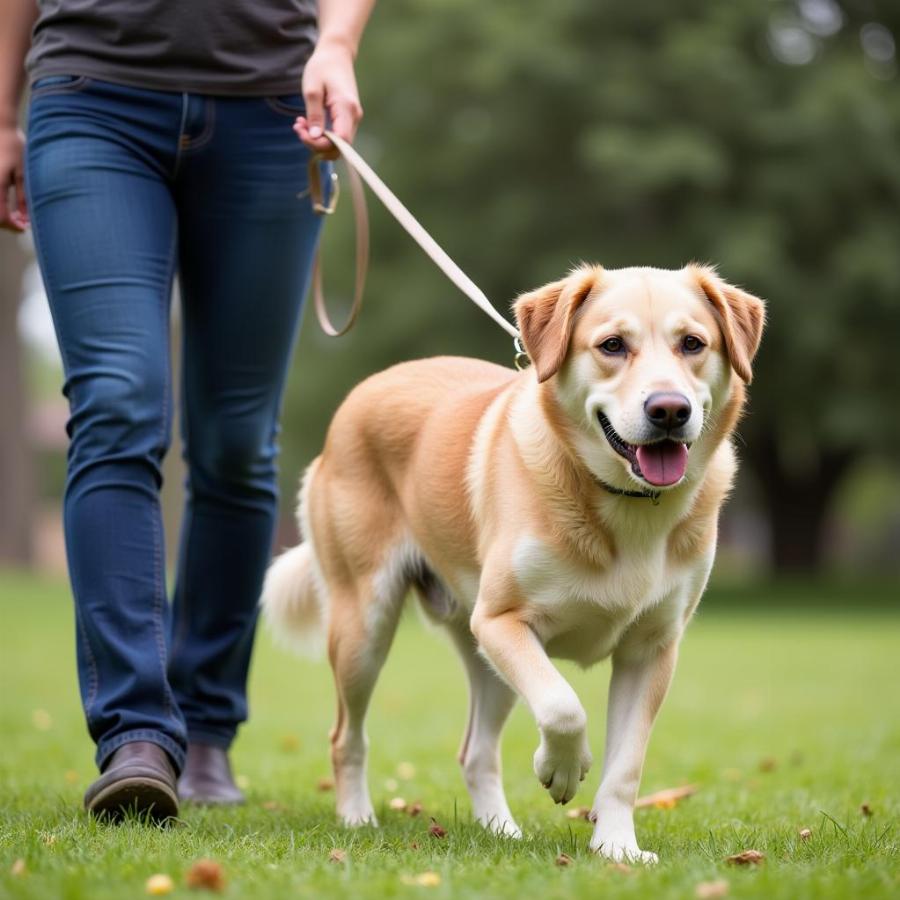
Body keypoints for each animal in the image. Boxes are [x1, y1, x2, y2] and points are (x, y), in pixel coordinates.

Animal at [264, 264, 764, 860]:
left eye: (692, 344)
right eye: (612, 346)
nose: (669, 410)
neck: (624, 505)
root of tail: (370, 387)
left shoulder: (651, 649)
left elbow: (625, 766)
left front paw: (617, 848)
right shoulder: (504, 621)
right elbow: (563, 705)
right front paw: (563, 768)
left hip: (487, 663)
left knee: (475, 753)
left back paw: (499, 829)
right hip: (366, 628)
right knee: (347, 736)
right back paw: (358, 819)